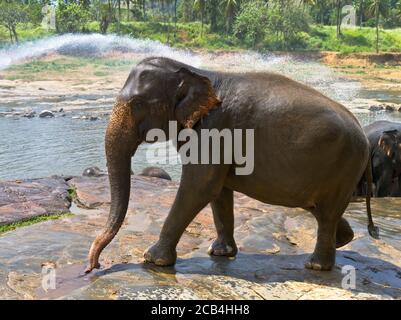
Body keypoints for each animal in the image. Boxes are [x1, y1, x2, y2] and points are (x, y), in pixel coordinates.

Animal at [85, 57, 378, 272]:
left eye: (137, 103)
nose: (94, 267)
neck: (197, 72)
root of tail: (364, 134)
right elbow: (218, 191)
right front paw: (220, 253)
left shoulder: (215, 130)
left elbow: (199, 187)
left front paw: (153, 259)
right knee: (321, 210)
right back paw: (342, 241)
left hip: (344, 165)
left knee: (326, 213)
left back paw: (316, 266)